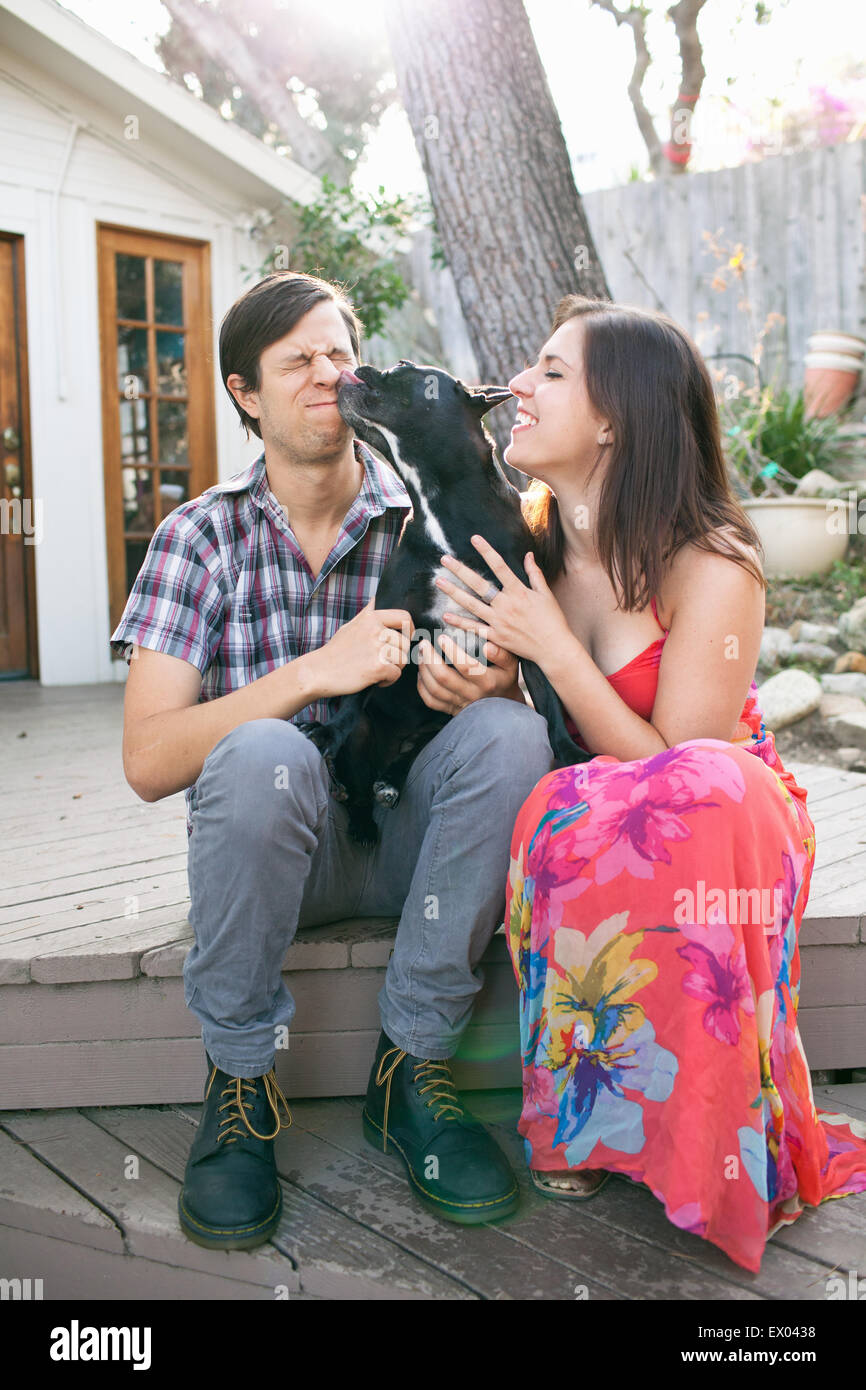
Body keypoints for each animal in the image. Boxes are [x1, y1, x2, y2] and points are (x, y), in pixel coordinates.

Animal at [297, 355, 589, 845]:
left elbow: (549, 695)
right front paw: (329, 730)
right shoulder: (389, 619)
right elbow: (355, 692)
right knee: (356, 776)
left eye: (402, 367)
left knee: (405, 759)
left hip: (441, 723)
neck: (442, 506)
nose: (364, 365)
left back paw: (391, 781)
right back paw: (362, 818)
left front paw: (568, 750)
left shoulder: (528, 623)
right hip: (366, 741)